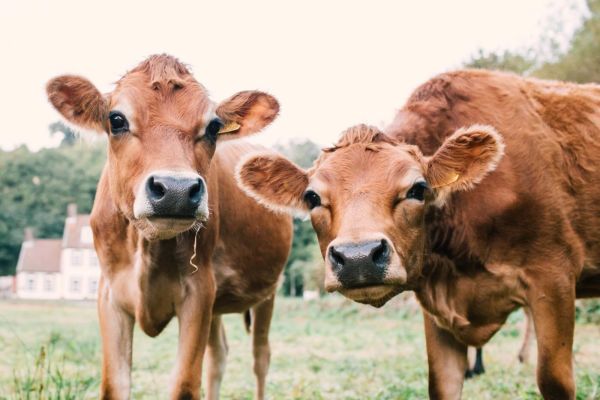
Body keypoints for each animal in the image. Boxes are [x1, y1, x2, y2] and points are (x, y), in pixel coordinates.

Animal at [45, 55, 292, 400]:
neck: (147, 245)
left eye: (213, 127)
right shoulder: (110, 295)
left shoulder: (198, 292)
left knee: (261, 357)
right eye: (116, 119)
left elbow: (185, 385)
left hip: (268, 291)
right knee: (218, 355)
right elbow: (115, 386)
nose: (176, 189)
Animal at [236, 70, 600, 398]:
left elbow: (555, 381)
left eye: (418, 188)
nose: (358, 257)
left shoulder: (552, 277)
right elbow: (442, 385)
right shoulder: (437, 301)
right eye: (312, 197)